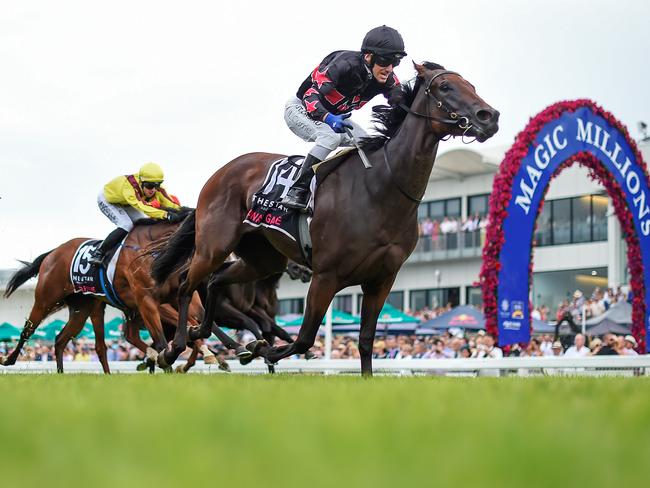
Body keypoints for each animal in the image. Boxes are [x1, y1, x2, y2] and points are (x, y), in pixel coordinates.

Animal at [152, 63, 496, 374]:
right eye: (445, 87)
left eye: (472, 86)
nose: (489, 116)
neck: (380, 189)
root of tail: (220, 173)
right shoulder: (325, 276)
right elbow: (304, 338)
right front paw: (263, 349)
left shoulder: (382, 280)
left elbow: (366, 340)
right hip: (214, 246)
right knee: (186, 285)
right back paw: (174, 349)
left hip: (263, 259)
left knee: (215, 281)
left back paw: (206, 335)